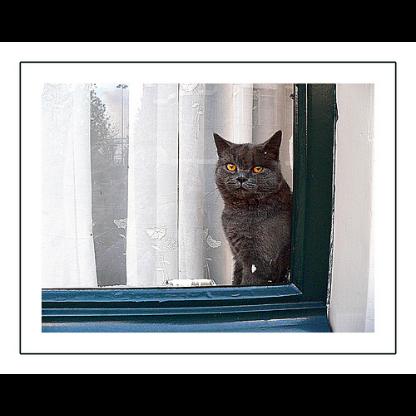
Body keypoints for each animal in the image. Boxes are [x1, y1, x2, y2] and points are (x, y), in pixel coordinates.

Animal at [214, 130, 292, 286]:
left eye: (257, 168)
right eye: (231, 166)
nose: (241, 178)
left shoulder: (260, 263)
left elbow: (248, 282)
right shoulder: (238, 256)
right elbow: (237, 278)